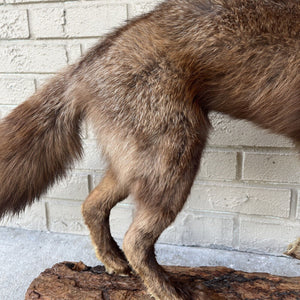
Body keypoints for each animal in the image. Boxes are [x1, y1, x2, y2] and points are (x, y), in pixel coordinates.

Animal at [0, 0, 300, 298]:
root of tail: (85, 63)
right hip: (175, 160)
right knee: (134, 240)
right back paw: (167, 290)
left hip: (133, 168)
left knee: (92, 206)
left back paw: (113, 261)